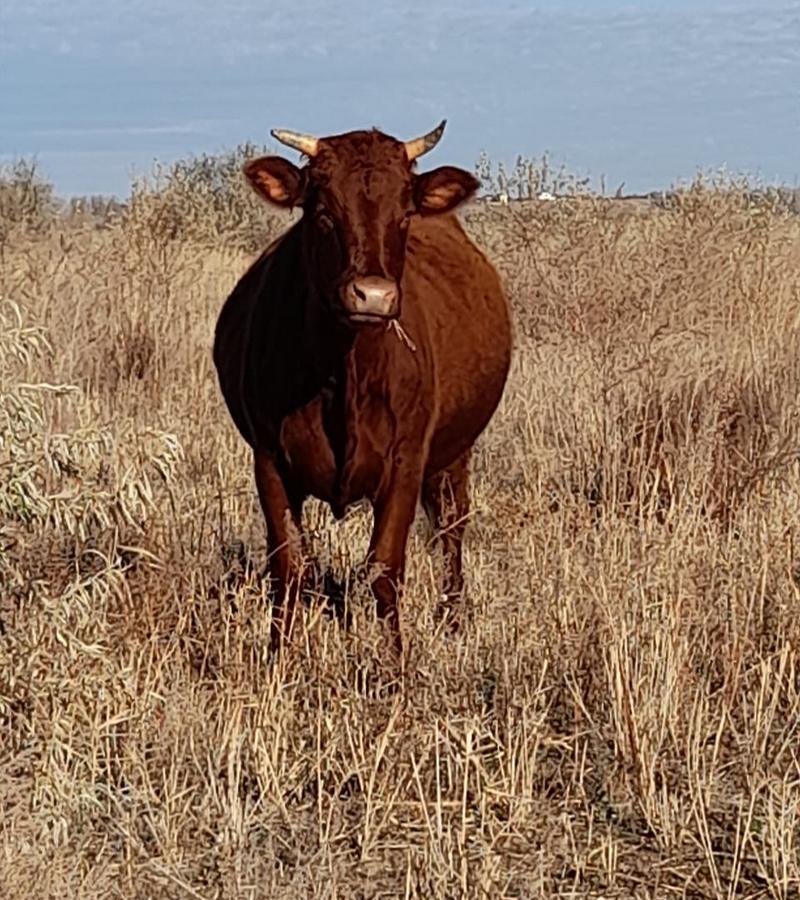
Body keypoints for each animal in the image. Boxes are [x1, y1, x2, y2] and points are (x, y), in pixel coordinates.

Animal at [213, 121, 512, 659]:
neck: (341, 376)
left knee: (452, 526)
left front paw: (393, 664)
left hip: (455, 452)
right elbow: (288, 564)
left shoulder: (407, 461)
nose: (373, 295)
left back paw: (453, 617)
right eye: (323, 213)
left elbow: (384, 568)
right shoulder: (268, 458)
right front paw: (278, 658)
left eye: (405, 213)